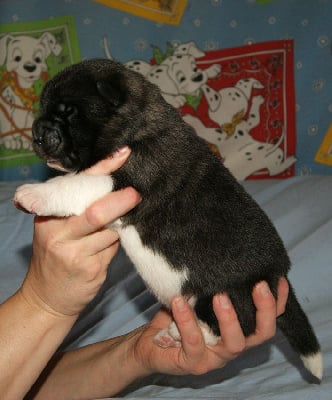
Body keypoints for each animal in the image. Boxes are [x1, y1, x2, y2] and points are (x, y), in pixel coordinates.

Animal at [14, 59, 322, 382]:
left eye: (69, 111)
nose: (37, 130)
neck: (135, 124)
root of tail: (280, 276)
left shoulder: (128, 181)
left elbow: (76, 183)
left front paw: (33, 193)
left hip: (232, 293)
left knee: (235, 323)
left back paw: (179, 333)